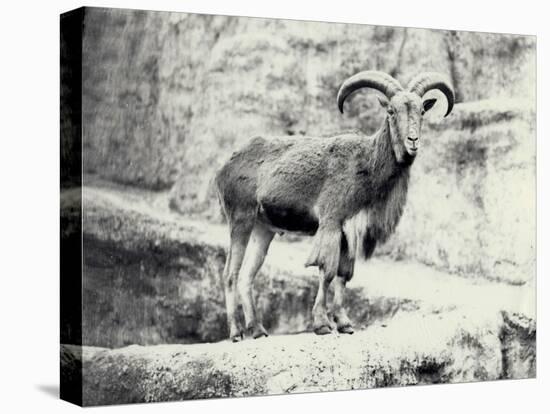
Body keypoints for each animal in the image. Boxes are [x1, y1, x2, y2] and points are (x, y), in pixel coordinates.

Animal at [216, 70, 458, 342]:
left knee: (247, 275)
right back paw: (236, 332)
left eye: (422, 111)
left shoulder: (349, 229)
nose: (413, 141)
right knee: (230, 273)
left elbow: (345, 274)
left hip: (263, 228)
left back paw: (257, 329)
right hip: (241, 218)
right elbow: (327, 271)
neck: (366, 164)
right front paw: (322, 324)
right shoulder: (331, 221)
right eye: (391, 111)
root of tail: (225, 167)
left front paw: (344, 323)